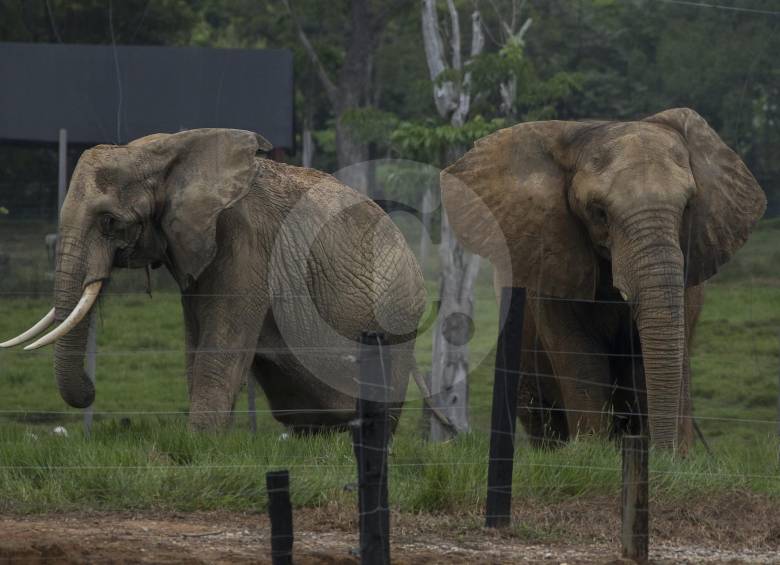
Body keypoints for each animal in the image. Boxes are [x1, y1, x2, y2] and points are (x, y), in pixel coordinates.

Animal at [2, 128, 427, 432]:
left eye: (110, 222)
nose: (91, 391)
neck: (165, 153)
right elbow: (197, 345)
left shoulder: (245, 244)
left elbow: (218, 350)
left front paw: (199, 444)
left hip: (397, 317)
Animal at [441, 108, 766, 451]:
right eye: (599, 212)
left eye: (688, 205)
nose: (667, 452)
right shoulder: (552, 262)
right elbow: (581, 357)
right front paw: (591, 452)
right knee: (539, 415)